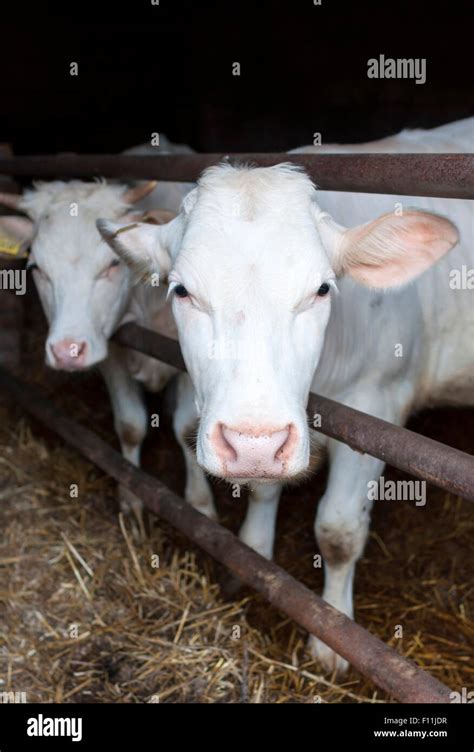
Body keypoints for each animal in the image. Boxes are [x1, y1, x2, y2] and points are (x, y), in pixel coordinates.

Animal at [97, 119, 474, 676]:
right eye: (182, 290)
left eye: (322, 289)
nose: (253, 442)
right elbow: (261, 496)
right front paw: (254, 557)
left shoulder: (379, 407)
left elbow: (338, 532)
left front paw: (333, 642)